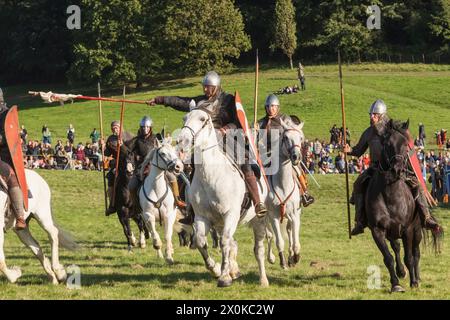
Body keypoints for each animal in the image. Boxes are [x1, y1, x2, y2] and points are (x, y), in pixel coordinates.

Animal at [178, 109, 268, 286]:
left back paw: (263, 280)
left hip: (257, 221)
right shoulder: (202, 217)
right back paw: (234, 270)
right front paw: (216, 269)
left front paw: (224, 277)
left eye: (203, 119)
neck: (211, 176)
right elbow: (201, 241)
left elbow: (225, 242)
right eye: (184, 118)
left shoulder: (230, 215)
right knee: (231, 244)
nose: (182, 140)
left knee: (258, 250)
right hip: (219, 224)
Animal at [264, 116, 306, 268]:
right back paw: (271, 257)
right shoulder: (274, 216)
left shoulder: (295, 215)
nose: (296, 157)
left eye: (301, 138)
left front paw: (295, 257)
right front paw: (282, 261)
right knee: (269, 234)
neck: (283, 185)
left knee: (288, 231)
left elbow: (295, 241)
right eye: (286, 137)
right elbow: (279, 240)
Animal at [366, 119, 440, 292]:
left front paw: (413, 282)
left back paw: (417, 277)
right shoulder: (378, 231)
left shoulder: (408, 230)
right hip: (392, 233)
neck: (390, 195)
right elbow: (388, 257)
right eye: (387, 144)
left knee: (416, 253)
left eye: (406, 144)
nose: (397, 170)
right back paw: (401, 272)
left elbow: (410, 258)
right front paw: (396, 284)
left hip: (417, 231)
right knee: (396, 248)